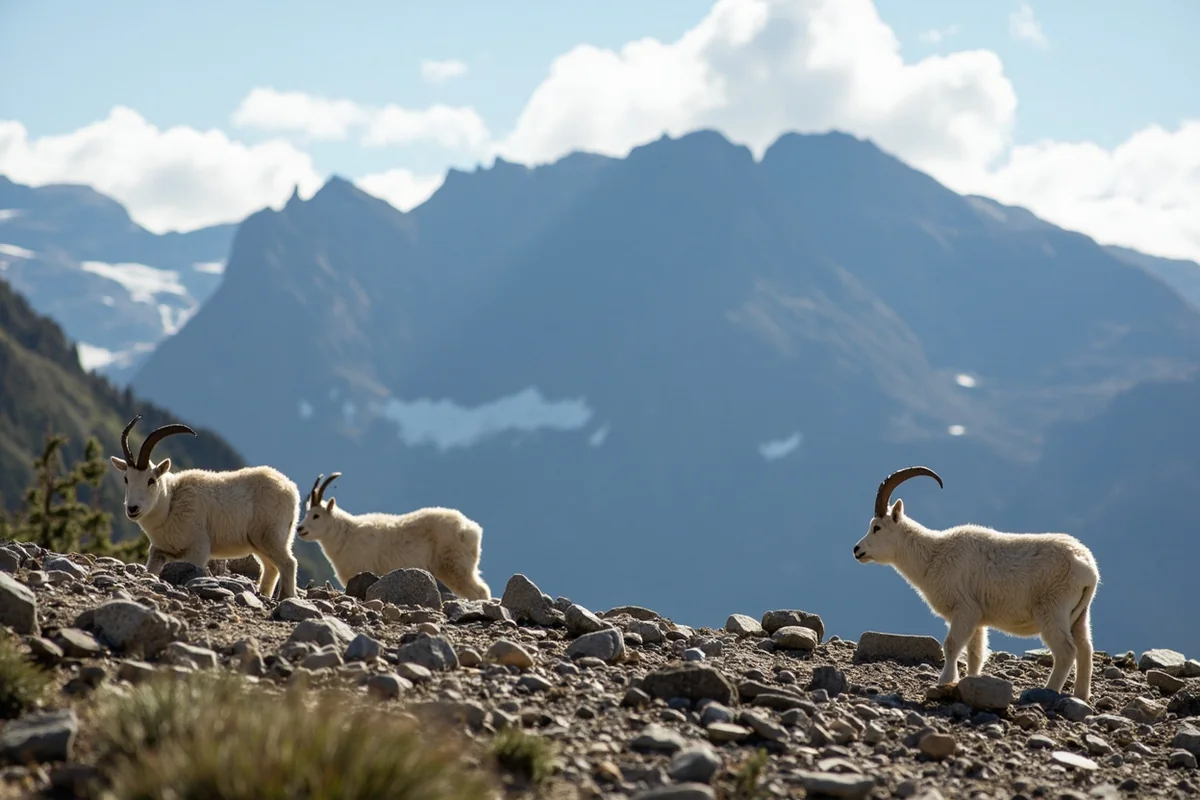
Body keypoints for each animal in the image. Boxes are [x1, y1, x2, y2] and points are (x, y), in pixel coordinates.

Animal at [109, 415, 301, 599]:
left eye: (151, 480)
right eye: (126, 478)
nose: (132, 508)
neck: (171, 503)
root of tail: (291, 489)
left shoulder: (198, 549)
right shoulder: (160, 550)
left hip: (271, 536)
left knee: (288, 563)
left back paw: (286, 597)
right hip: (260, 543)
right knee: (271, 568)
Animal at [297, 472, 491, 601]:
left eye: (316, 515)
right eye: (307, 512)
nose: (299, 529)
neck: (345, 534)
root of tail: (472, 530)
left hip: (455, 565)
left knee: (480, 591)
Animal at [852, 466, 1100, 701]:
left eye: (876, 527)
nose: (857, 550)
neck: (934, 555)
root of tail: (1088, 569)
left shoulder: (965, 610)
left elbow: (952, 645)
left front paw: (945, 681)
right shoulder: (978, 618)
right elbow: (975, 653)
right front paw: (970, 684)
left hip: (1052, 610)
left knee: (1066, 651)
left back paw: (1049, 691)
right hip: (1080, 615)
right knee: (1085, 649)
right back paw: (1080, 696)